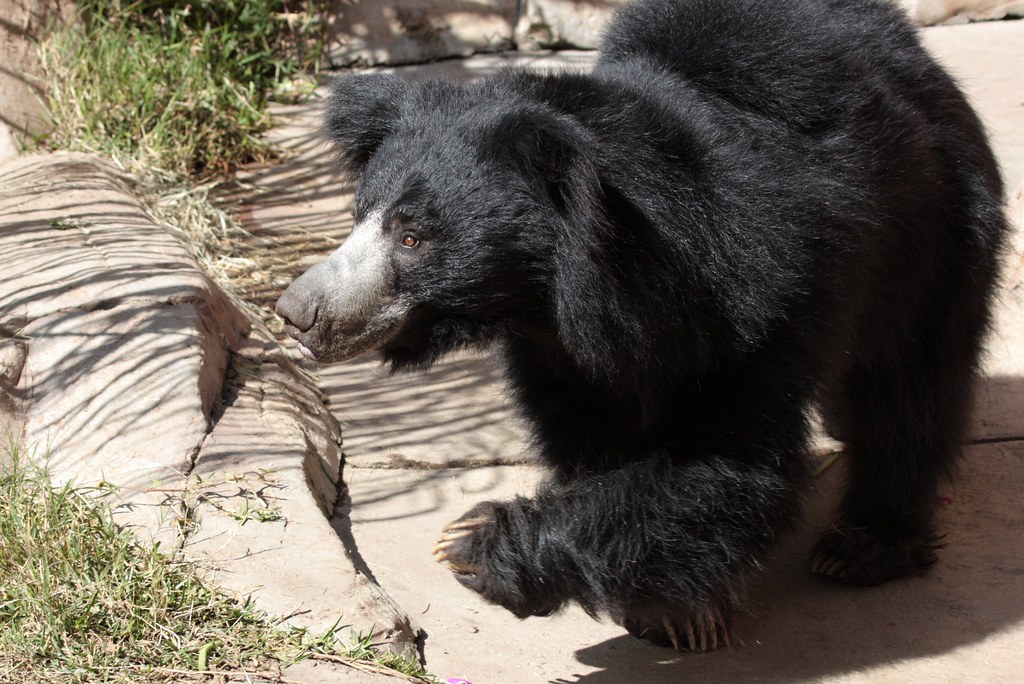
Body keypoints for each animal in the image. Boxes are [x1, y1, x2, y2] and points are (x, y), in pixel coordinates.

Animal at [276, 0, 1008, 651]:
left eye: (412, 237)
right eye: (360, 216)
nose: (296, 312)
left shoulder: (766, 303)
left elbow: (731, 465)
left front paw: (472, 546)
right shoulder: (563, 348)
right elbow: (596, 432)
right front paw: (666, 612)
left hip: (932, 237)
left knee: (907, 387)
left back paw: (862, 546)